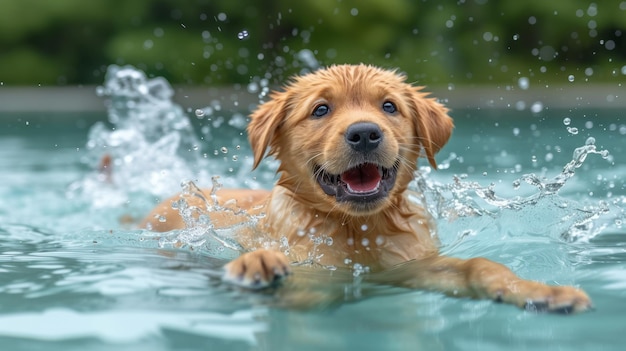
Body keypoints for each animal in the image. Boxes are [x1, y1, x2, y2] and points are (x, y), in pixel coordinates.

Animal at [141, 64, 588, 314]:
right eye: (320, 109)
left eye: (389, 106)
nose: (364, 133)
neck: (356, 229)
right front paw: (256, 264)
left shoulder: (412, 266)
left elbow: (480, 265)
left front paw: (540, 291)